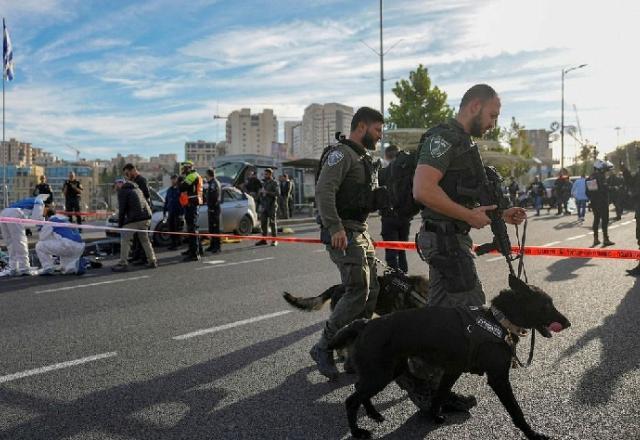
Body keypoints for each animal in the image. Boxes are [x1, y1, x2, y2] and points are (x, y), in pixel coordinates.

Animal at [330, 276, 568, 438]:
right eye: (546, 305)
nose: (568, 323)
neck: (497, 319)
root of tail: (364, 324)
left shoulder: (452, 372)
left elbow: (439, 395)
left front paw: (435, 417)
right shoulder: (498, 379)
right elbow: (516, 411)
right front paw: (532, 434)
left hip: (386, 372)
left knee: (359, 391)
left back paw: (374, 415)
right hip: (380, 374)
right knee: (351, 400)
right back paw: (358, 431)